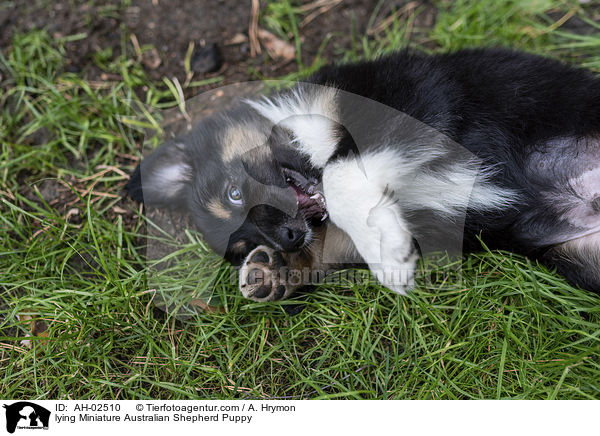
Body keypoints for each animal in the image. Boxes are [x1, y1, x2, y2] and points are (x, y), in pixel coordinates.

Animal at [127, 47, 600, 300]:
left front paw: (388, 255)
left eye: (233, 193)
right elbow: (331, 242)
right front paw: (272, 271)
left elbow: (341, 175)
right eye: (242, 243)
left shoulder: (405, 99)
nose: (288, 238)